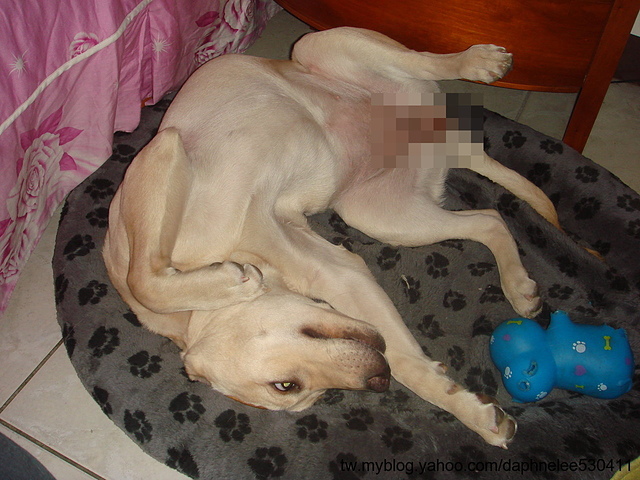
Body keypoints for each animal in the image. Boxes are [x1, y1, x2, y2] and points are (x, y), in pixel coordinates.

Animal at [103, 27, 562, 448]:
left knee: (427, 60)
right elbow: (407, 362)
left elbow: (142, 279)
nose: (377, 381)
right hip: (379, 214)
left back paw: (480, 61)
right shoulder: (338, 274)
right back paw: (519, 287)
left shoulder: (160, 154)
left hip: (322, 46)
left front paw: (229, 282)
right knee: (490, 219)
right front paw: (471, 411)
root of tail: (442, 136)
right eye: (293, 389)